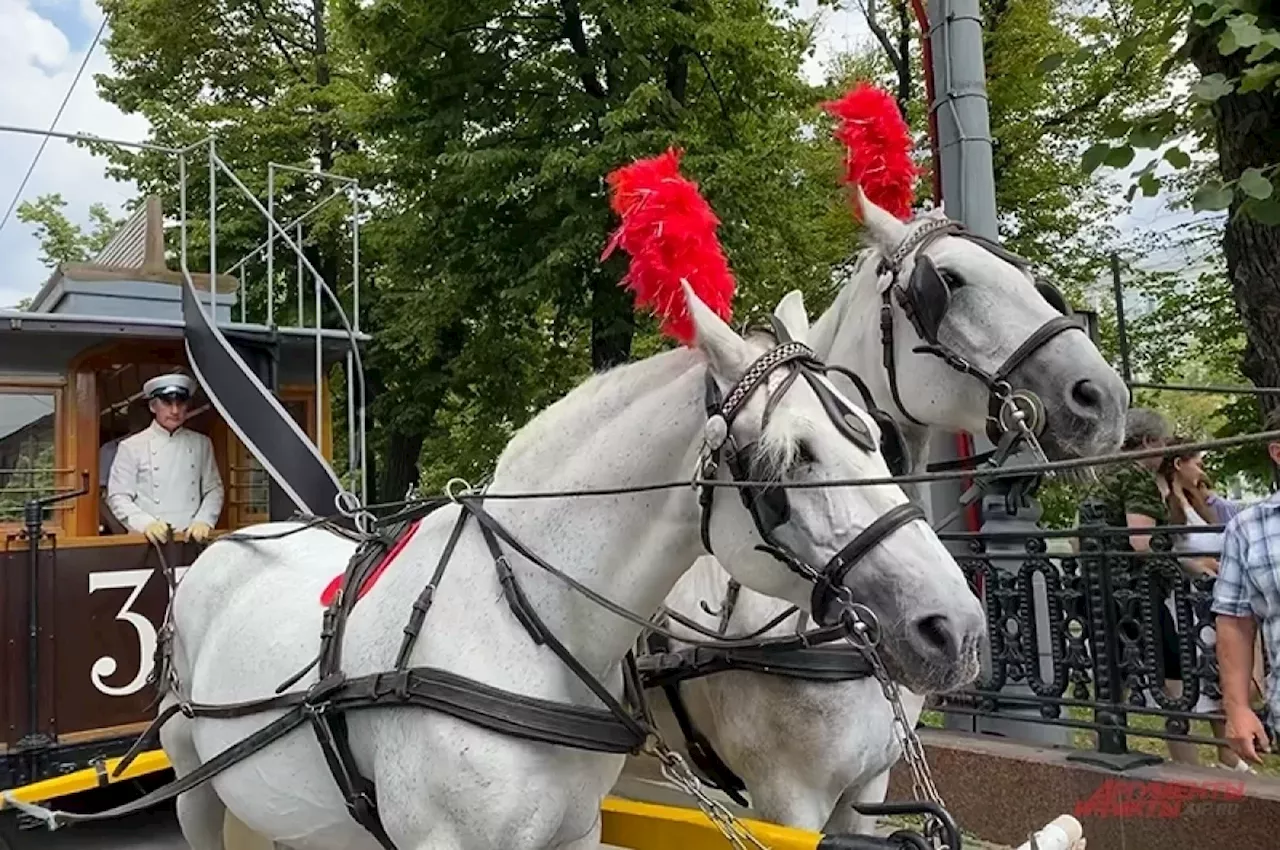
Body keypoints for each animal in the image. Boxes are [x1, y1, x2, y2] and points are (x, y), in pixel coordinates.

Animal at [154, 285, 983, 850]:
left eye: (874, 435)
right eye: (794, 454)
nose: (955, 627)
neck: (521, 627)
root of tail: (235, 540)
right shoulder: (792, 790)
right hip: (195, 785)